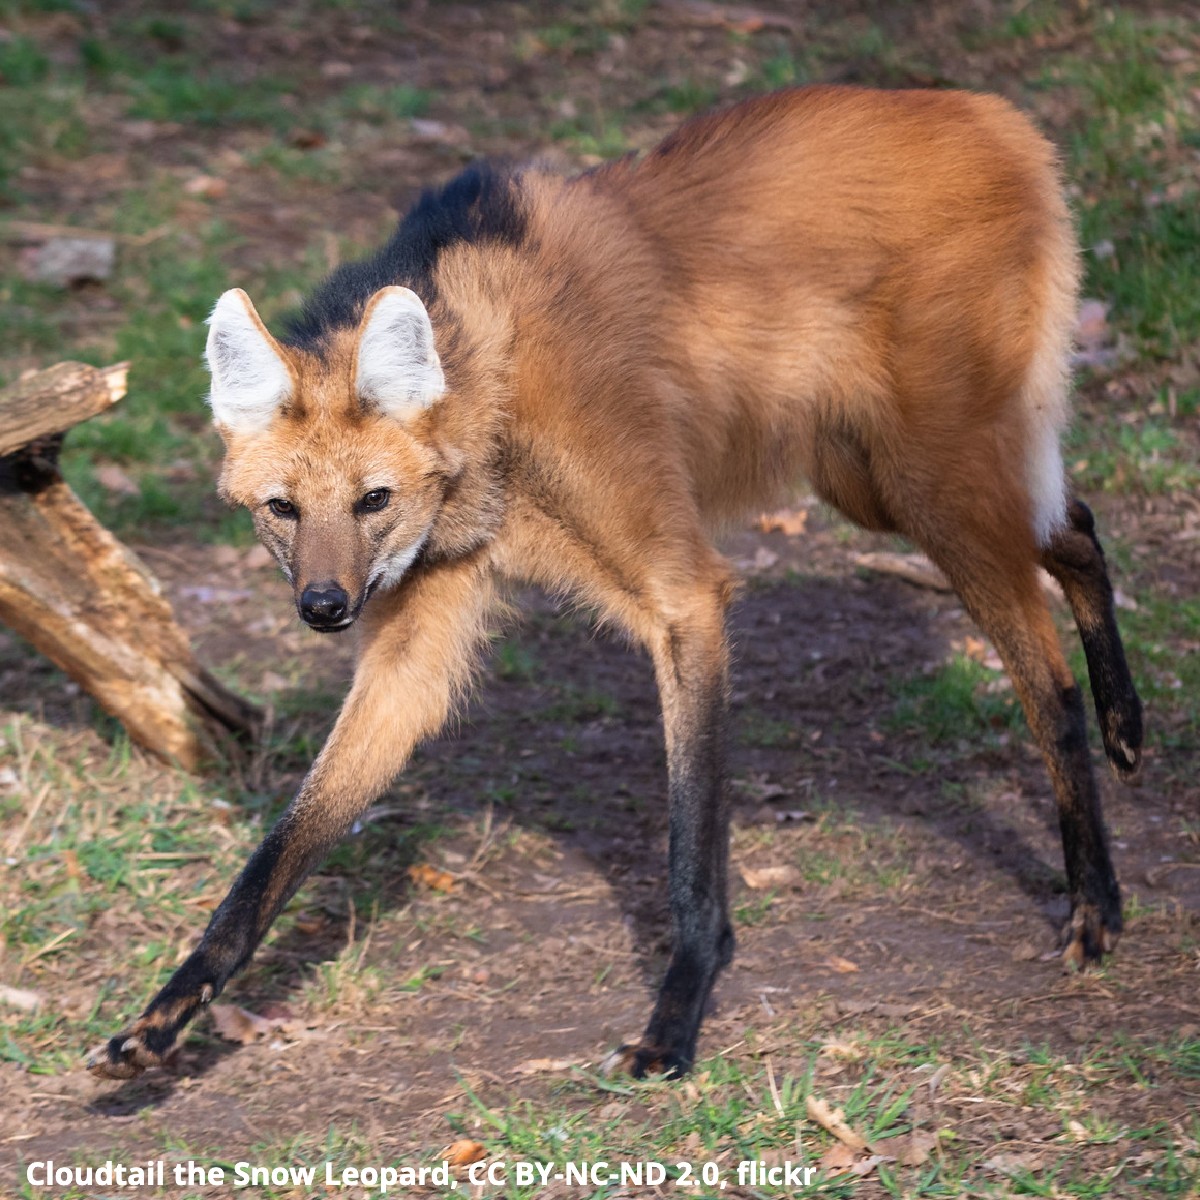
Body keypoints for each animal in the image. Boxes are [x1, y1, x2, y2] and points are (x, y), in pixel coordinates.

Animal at [91, 82, 1142, 1080]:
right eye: (282, 511)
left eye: (372, 499)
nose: (323, 607)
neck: (494, 399)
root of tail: (993, 114)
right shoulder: (418, 629)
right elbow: (283, 846)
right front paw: (164, 1016)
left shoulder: (685, 600)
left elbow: (689, 842)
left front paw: (674, 1023)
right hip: (870, 478)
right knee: (1073, 527)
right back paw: (1128, 726)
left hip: (925, 480)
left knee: (1044, 677)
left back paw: (1096, 904)